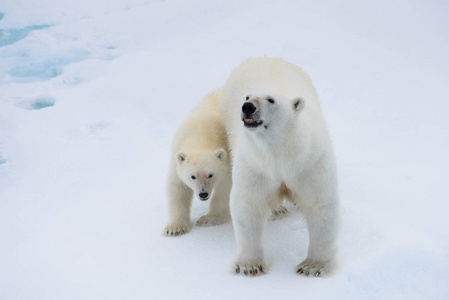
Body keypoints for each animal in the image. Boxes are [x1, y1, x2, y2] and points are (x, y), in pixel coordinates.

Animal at [218, 57, 340, 278]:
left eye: (271, 100)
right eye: (247, 96)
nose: (247, 106)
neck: (281, 152)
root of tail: (266, 57)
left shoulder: (310, 162)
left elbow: (321, 202)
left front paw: (313, 267)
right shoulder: (256, 164)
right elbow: (248, 203)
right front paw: (250, 265)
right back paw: (277, 210)